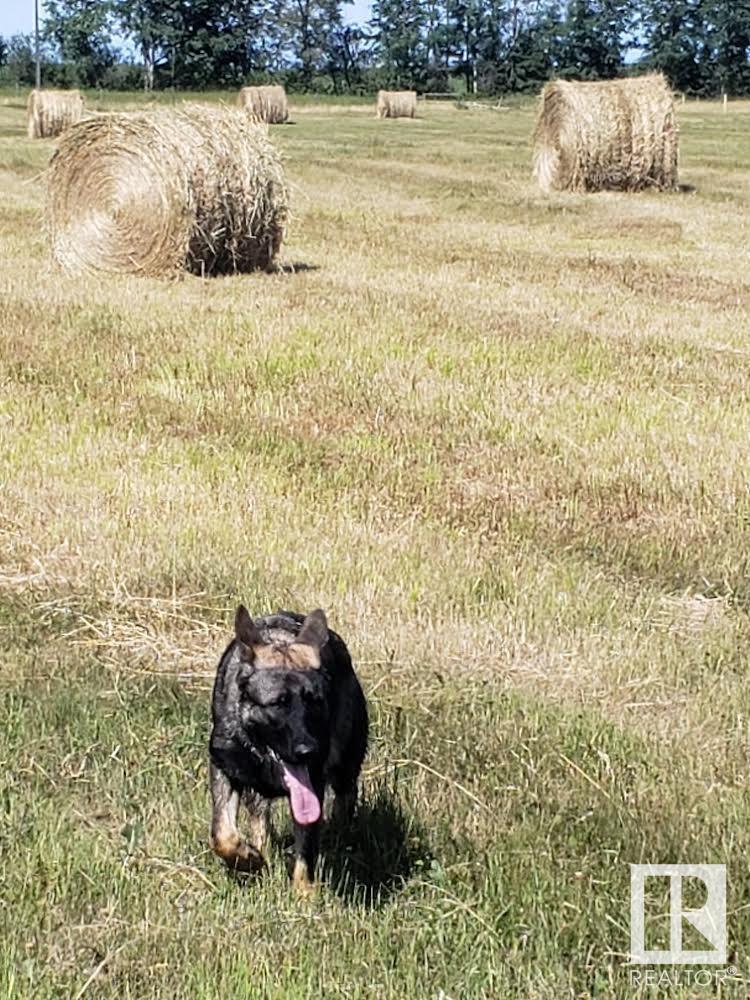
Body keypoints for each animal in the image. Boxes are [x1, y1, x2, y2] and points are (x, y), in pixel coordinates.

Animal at [210, 604, 368, 896]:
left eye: (315, 701)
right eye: (278, 703)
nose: (308, 751)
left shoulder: (313, 784)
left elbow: (306, 847)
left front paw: (304, 893)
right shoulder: (224, 768)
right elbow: (222, 835)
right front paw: (248, 859)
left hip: (345, 762)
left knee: (346, 796)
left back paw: (339, 837)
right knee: (258, 817)